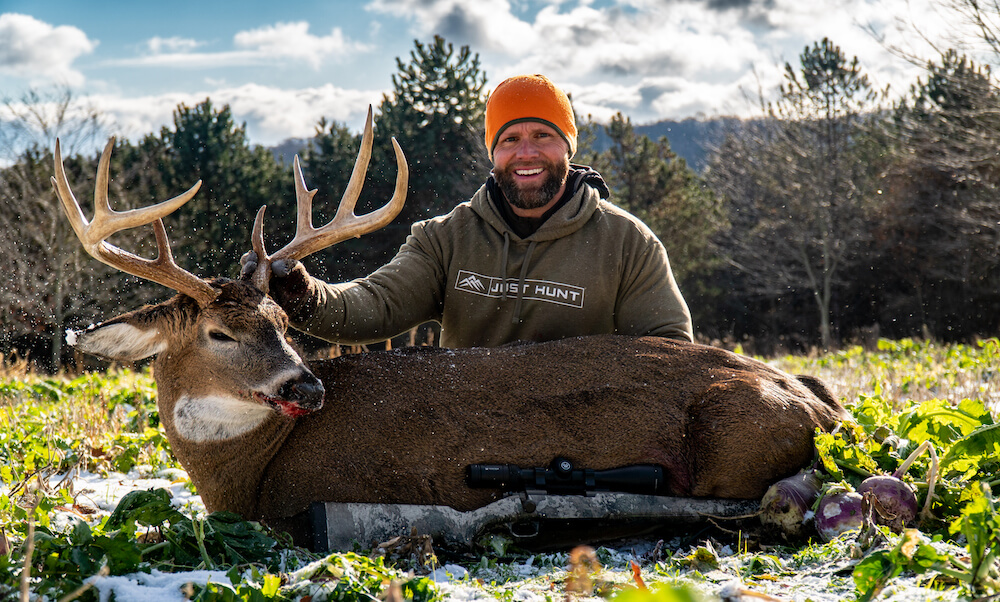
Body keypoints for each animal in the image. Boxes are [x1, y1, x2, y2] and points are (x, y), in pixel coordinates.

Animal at [54, 109, 848, 548]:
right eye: (220, 333)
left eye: (279, 321)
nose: (306, 388)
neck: (247, 468)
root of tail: (817, 398)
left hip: (732, 437)